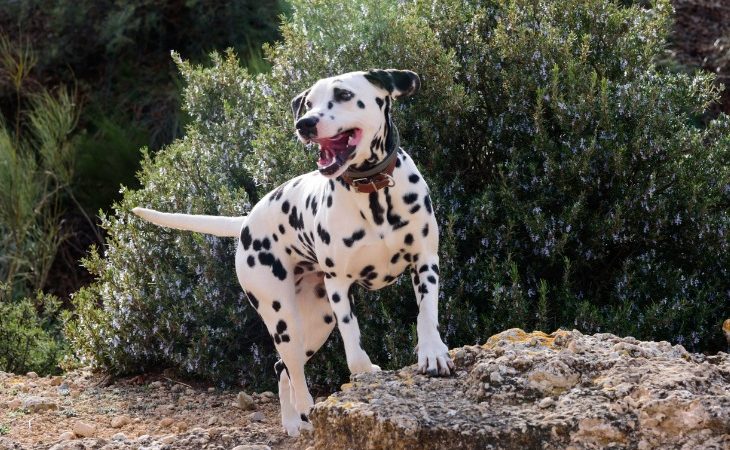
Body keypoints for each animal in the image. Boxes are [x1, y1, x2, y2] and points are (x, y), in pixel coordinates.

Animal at [131, 68, 450, 434]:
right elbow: (354, 343)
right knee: (293, 371)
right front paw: (363, 375)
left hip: (317, 322)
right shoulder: (339, 285)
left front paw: (433, 353)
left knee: (281, 367)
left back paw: (294, 421)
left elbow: (426, 314)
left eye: (343, 95)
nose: (305, 124)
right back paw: (304, 415)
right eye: (309, 103)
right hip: (284, 319)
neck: (372, 194)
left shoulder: (425, 263)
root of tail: (246, 222)